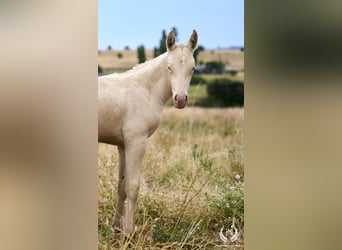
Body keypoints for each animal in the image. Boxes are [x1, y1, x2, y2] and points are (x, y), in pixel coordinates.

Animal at [97, 29, 199, 236]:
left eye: (193, 68)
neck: (145, 90)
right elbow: (133, 186)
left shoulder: (123, 145)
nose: (180, 99)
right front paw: (128, 233)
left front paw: (115, 228)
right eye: (169, 67)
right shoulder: (137, 142)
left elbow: (122, 185)